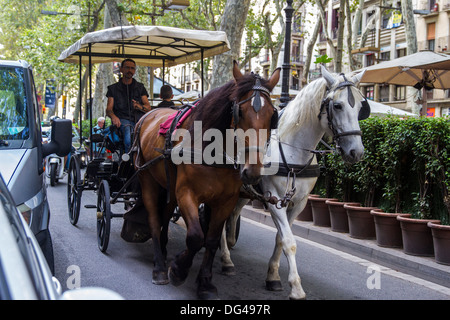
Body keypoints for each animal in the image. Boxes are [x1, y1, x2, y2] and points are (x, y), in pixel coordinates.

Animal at [134, 61, 280, 298]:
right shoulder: (186, 193)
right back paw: (159, 267)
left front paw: (204, 282)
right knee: (154, 220)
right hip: (147, 179)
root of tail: (149, 114)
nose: (253, 171)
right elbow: (195, 236)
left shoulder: (225, 201)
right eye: (240, 112)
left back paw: (164, 251)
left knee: (165, 215)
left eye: (272, 116)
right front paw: (178, 269)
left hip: (169, 186)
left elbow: (211, 240)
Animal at [219, 66, 370, 302]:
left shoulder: (298, 203)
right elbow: (289, 241)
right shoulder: (274, 200)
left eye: (362, 107)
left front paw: (273, 276)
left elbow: (281, 239)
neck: (293, 149)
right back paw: (226, 258)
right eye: (337, 105)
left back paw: (231, 240)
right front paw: (296, 287)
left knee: (233, 213)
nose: (356, 152)